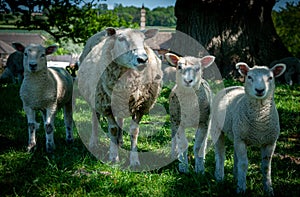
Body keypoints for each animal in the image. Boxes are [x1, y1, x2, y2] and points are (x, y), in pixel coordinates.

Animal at [77, 27, 162, 166]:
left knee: (120, 120)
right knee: (95, 119)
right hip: (95, 98)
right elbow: (113, 129)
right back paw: (94, 142)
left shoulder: (141, 107)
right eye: (121, 39)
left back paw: (120, 141)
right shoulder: (106, 105)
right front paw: (113, 156)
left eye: (144, 40)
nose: (142, 60)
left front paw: (134, 160)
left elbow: (134, 131)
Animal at [209, 62, 286, 195]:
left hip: (236, 133)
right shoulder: (241, 140)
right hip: (217, 128)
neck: (260, 122)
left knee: (236, 156)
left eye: (270, 78)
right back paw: (219, 177)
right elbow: (244, 164)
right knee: (220, 154)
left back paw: (236, 176)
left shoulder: (270, 142)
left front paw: (268, 189)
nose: (260, 90)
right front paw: (241, 189)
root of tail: (230, 87)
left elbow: (266, 166)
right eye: (249, 77)